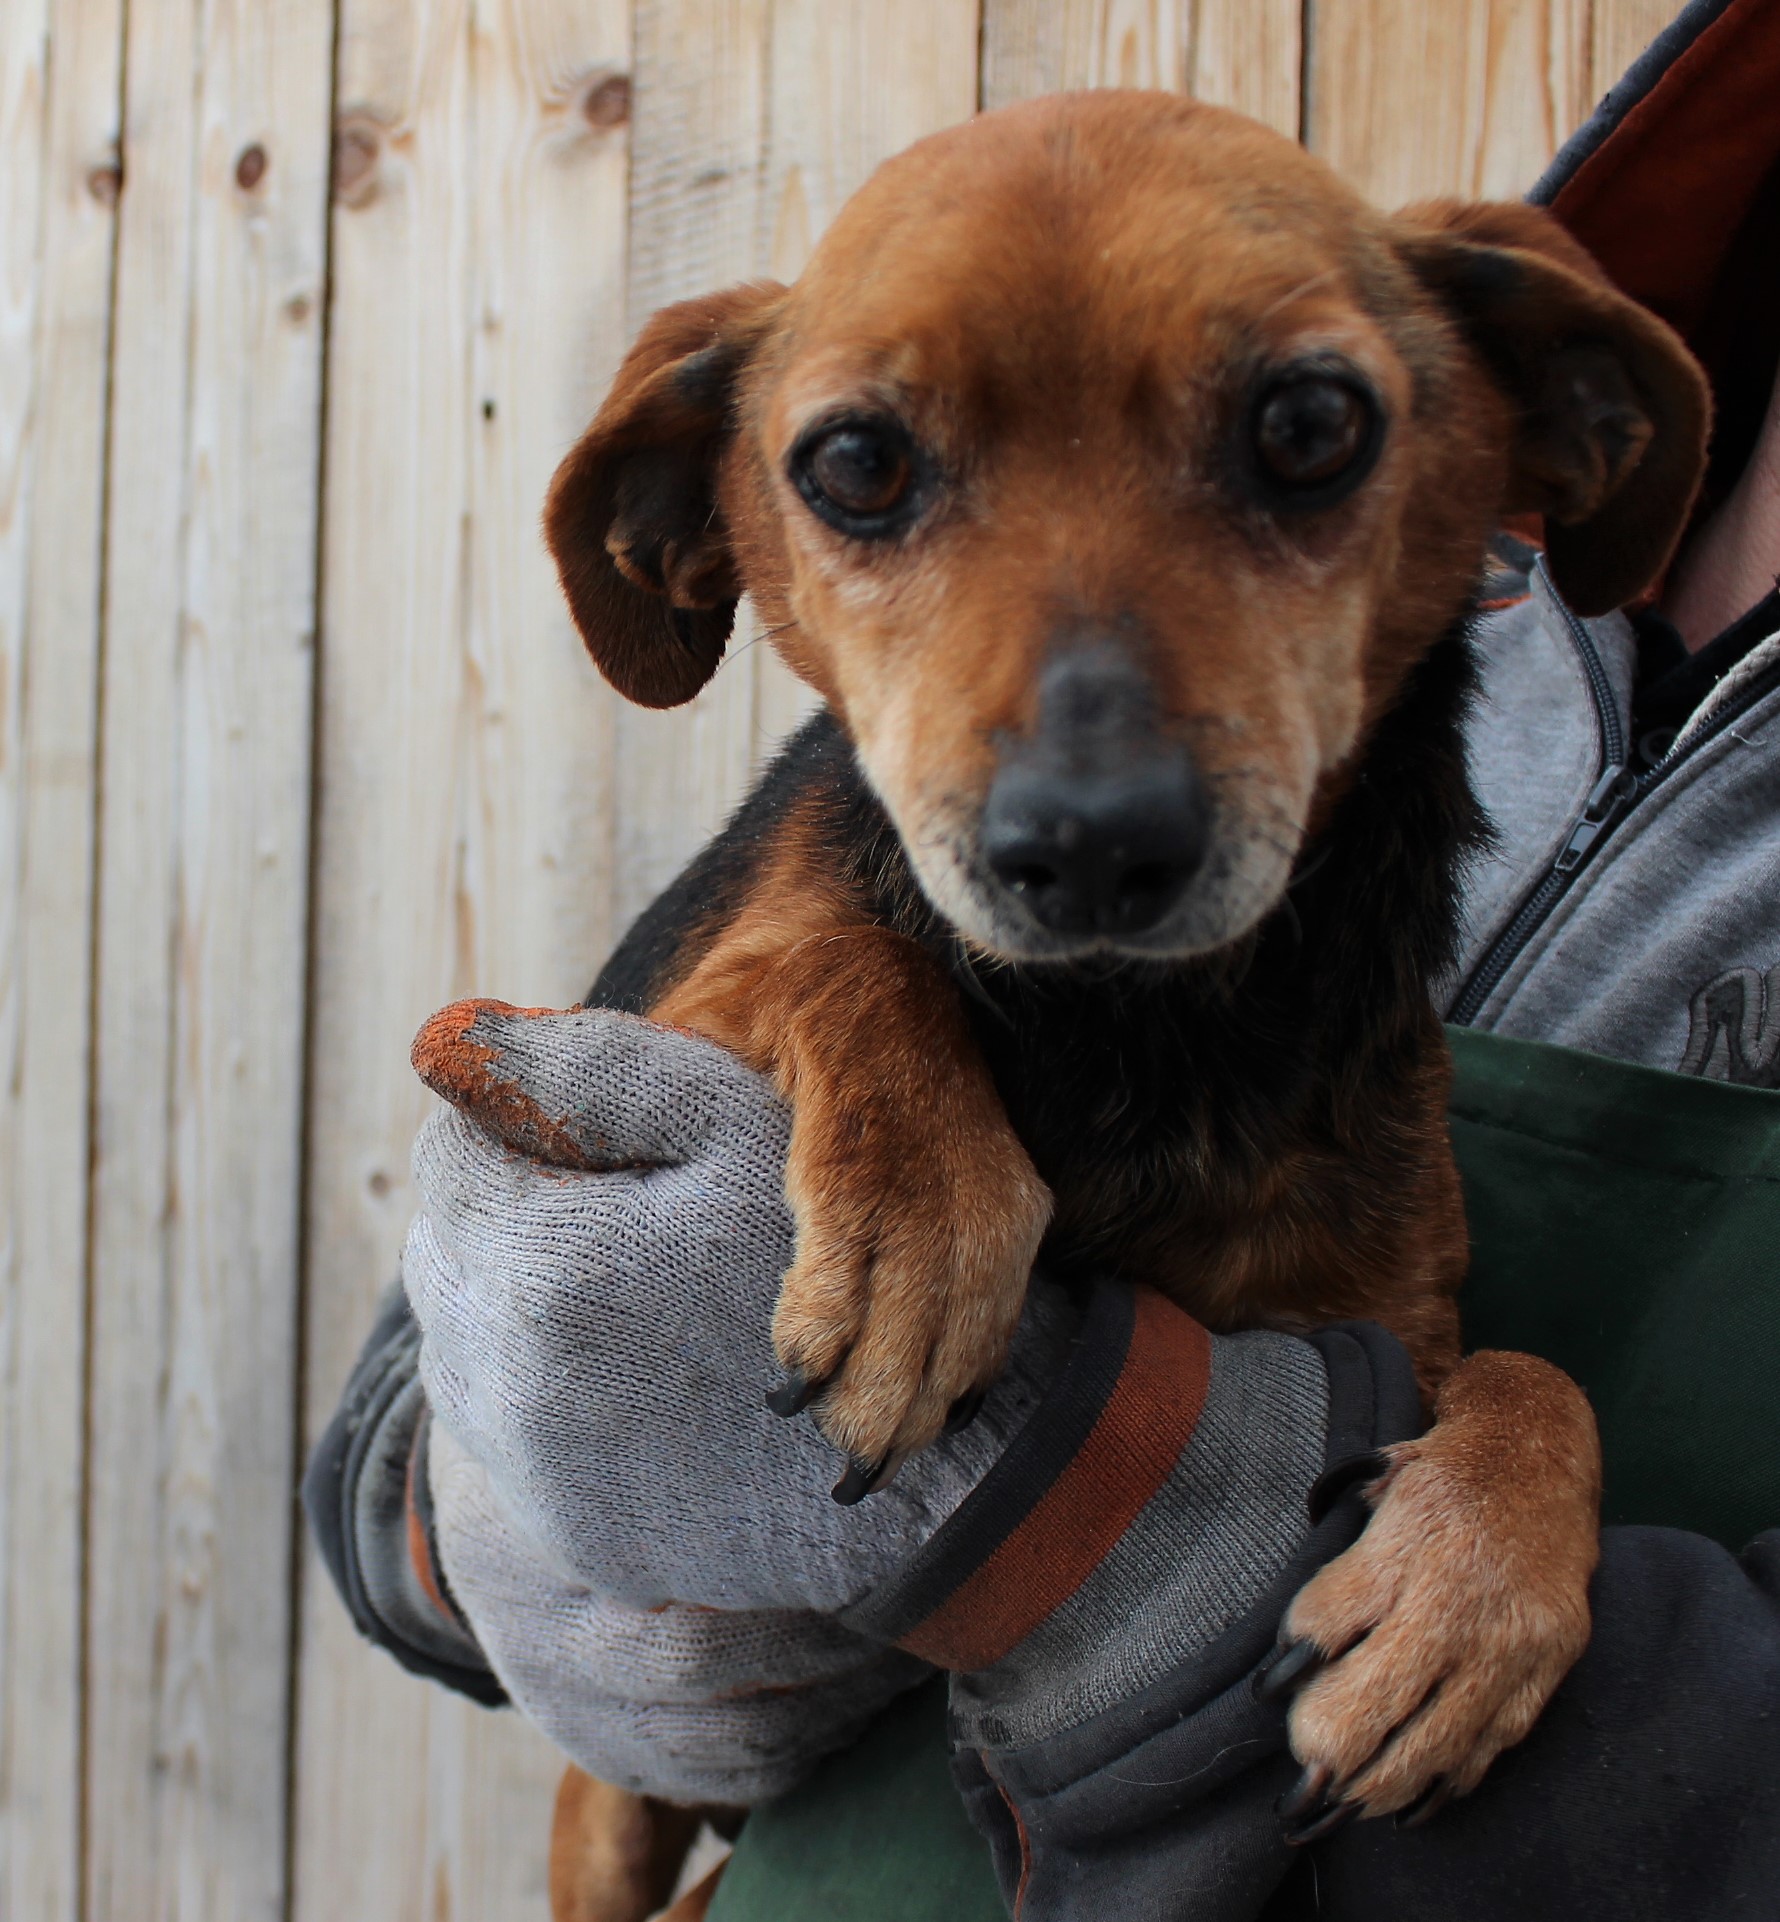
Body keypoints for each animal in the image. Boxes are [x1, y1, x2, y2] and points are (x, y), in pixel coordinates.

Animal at [538, 93, 1706, 1922]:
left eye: (1310, 422)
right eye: (855, 464)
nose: (1089, 845)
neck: (1147, 1031)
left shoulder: (1390, 1319)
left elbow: (1533, 1373)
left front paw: (1469, 1582)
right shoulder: (660, 1006)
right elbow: (841, 947)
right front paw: (925, 1214)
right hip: (609, 1809)